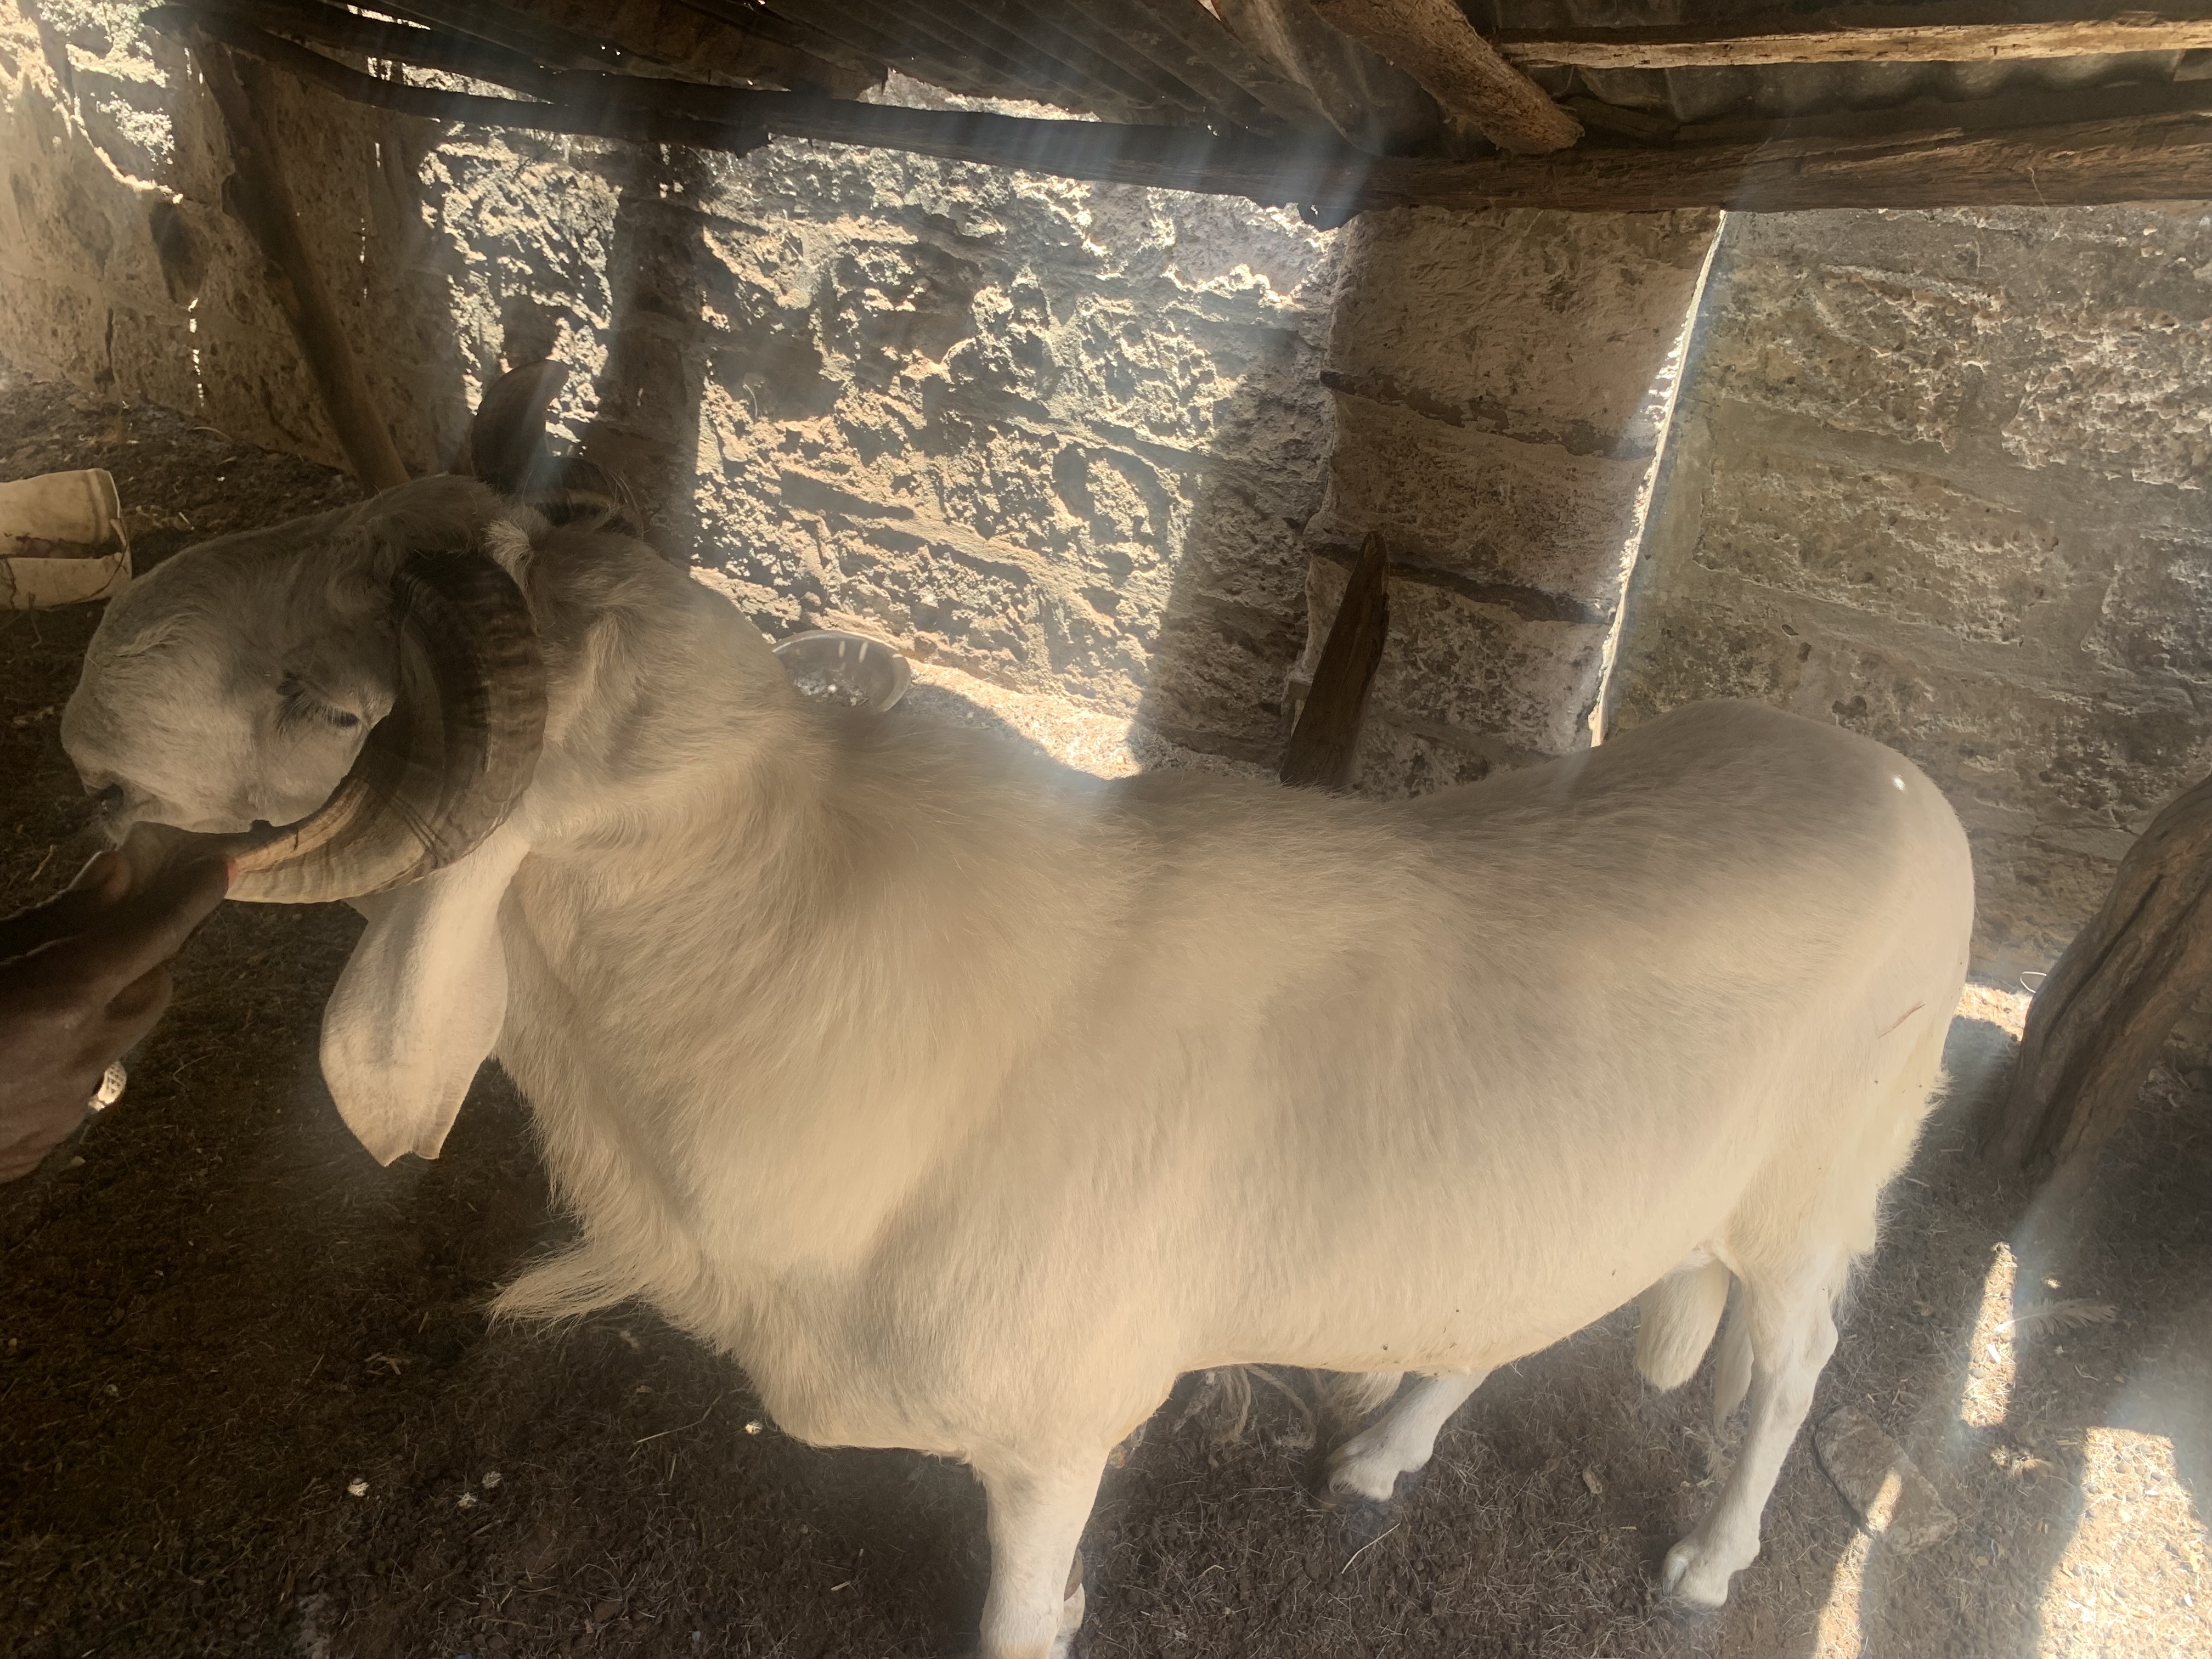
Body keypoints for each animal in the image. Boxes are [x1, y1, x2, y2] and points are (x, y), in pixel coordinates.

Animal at [62, 367, 1975, 1658]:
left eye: (329, 705)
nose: (81, 711)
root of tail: (1905, 783)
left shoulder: (1064, 1431)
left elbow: (1015, 1615)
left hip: (1815, 1198)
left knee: (1796, 1365)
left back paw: (1711, 1562)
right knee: (1505, 1316)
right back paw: (1384, 1450)